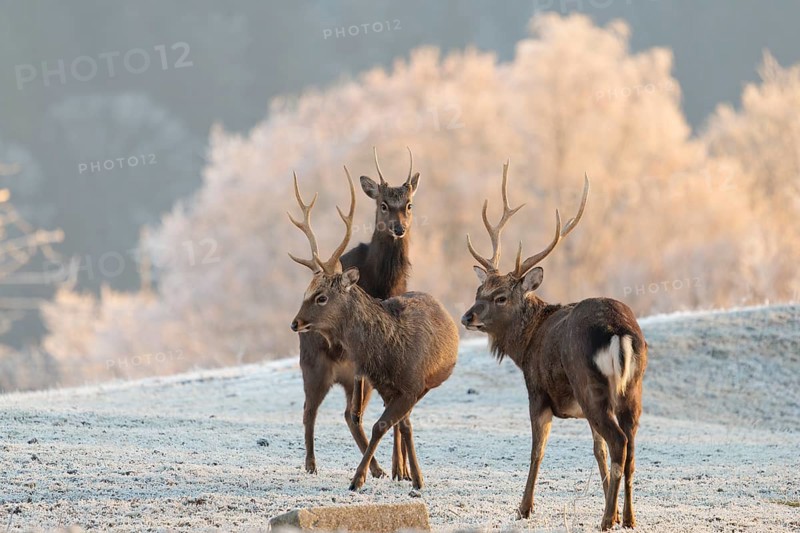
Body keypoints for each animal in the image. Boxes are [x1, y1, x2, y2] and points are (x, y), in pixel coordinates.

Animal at [289, 167, 459, 491]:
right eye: (305, 292)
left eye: (321, 296)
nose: (295, 323)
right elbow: (384, 423)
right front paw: (364, 477)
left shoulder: (407, 386)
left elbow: (388, 424)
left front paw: (385, 475)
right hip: (314, 368)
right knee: (312, 411)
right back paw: (313, 464)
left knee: (354, 416)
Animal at [460, 162, 647, 531]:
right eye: (479, 291)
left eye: (500, 297)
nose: (466, 316)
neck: (526, 344)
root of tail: (619, 331)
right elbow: (596, 450)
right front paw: (616, 509)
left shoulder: (537, 390)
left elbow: (538, 450)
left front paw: (523, 508)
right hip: (632, 389)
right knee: (629, 446)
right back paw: (629, 518)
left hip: (589, 384)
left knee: (619, 442)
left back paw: (606, 521)